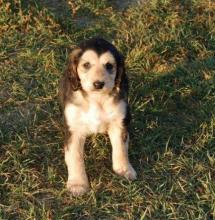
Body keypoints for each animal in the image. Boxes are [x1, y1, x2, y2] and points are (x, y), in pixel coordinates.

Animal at [59, 37, 136, 196]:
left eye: (109, 65)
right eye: (86, 65)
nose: (98, 84)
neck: (96, 99)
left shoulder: (119, 123)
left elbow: (121, 148)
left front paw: (124, 170)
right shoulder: (74, 129)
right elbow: (74, 156)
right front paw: (78, 184)